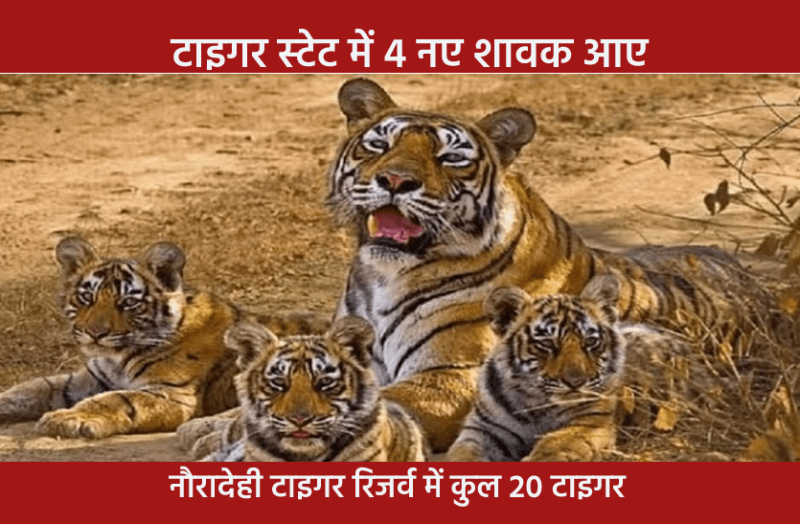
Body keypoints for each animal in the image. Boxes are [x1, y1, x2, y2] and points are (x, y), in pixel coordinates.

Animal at [0, 237, 329, 439]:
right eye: (86, 298)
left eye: (127, 303)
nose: (96, 333)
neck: (117, 357)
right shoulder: (85, 379)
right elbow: (31, 388)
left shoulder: (171, 394)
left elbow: (116, 400)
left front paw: (68, 419)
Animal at [446, 275, 723, 462]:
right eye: (547, 344)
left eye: (590, 342)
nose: (576, 382)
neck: (537, 404)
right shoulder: (482, 429)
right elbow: (462, 454)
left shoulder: (589, 425)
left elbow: (553, 445)